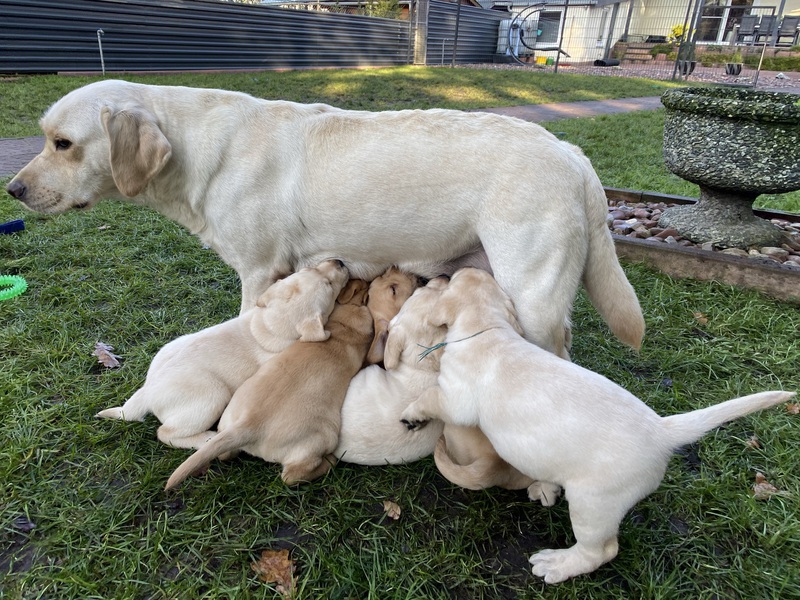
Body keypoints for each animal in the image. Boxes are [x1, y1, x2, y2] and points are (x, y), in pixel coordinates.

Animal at [6, 80, 644, 359]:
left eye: (63, 143)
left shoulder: (260, 271)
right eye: (45, 138)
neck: (192, 148)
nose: (12, 190)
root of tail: (571, 153)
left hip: (534, 296)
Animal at [96, 259, 349, 449]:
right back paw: (206, 439)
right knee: (166, 432)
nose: (340, 261)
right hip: (211, 396)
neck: (269, 323)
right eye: (329, 285)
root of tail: (146, 392)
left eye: (310, 270)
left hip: (168, 348)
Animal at [165, 279, 374, 489]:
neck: (343, 324)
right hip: (324, 435)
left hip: (226, 420)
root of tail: (247, 425)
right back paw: (330, 461)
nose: (358, 278)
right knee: (291, 475)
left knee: (224, 453)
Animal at [399, 267, 795, 584]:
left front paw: (410, 413)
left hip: (593, 503)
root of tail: (662, 429)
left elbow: (430, 399)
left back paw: (557, 564)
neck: (488, 329)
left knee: (601, 550)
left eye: (453, 281)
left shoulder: (454, 398)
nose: (446, 272)